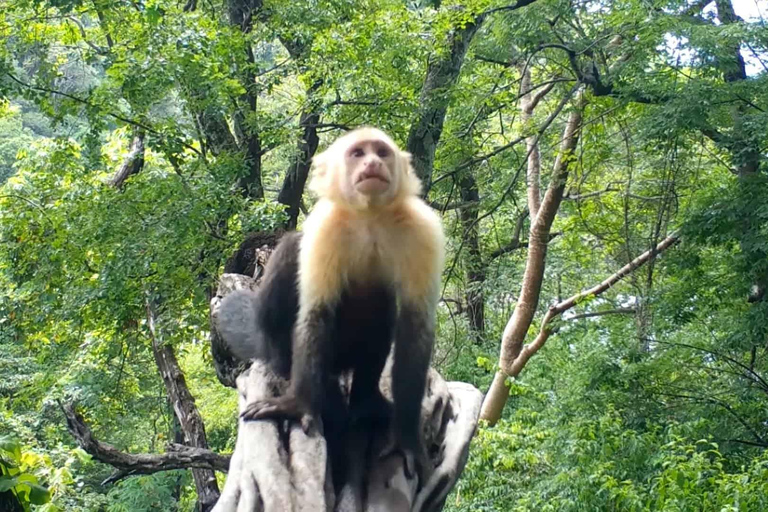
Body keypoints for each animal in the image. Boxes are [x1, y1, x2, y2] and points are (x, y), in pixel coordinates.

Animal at [216, 126, 444, 482]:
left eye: (382, 152)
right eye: (358, 153)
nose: (373, 164)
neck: (369, 217)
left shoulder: (423, 230)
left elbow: (414, 328)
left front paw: (406, 438)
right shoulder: (324, 228)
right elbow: (316, 314)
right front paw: (298, 404)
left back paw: (366, 402)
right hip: (280, 343)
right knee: (291, 249)